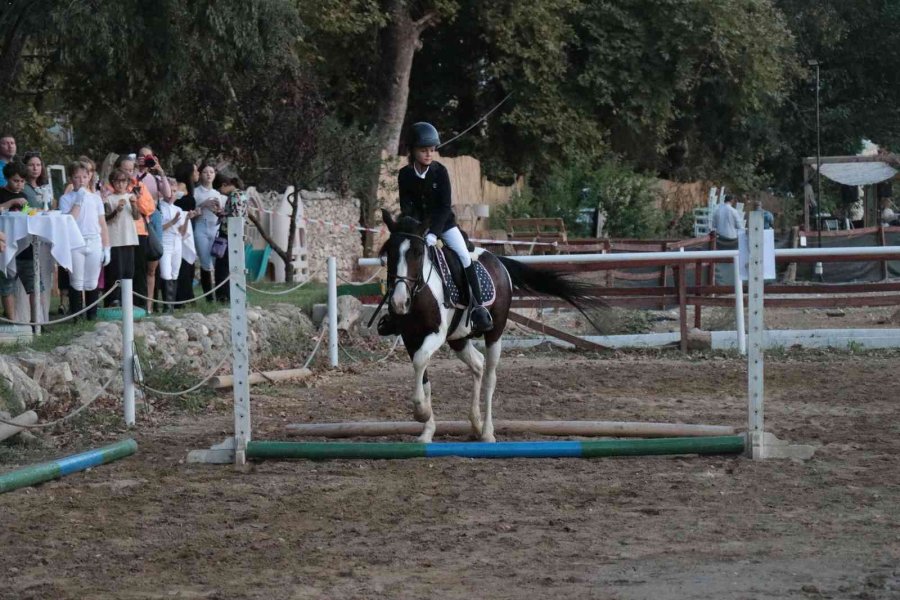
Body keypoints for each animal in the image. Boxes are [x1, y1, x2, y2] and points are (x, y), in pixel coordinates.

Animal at [380, 209, 604, 442]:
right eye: (389, 252)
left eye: (417, 252)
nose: (399, 302)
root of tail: (497, 260)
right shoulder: (411, 338)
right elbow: (423, 374)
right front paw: (427, 429)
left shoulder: (436, 335)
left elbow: (421, 361)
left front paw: (421, 412)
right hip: (458, 338)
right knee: (478, 364)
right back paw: (475, 424)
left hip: (495, 333)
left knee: (489, 376)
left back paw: (487, 432)